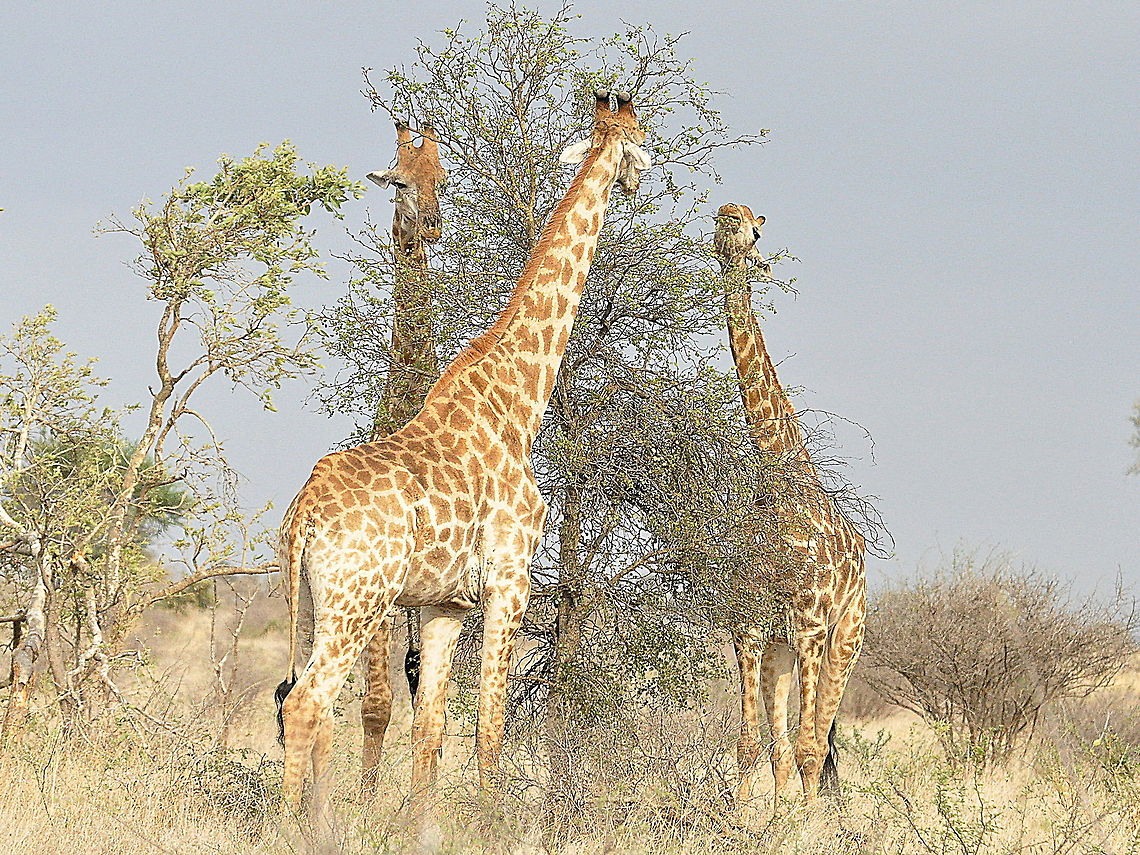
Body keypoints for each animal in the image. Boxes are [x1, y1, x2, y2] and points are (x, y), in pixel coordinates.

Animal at [276, 90, 651, 830]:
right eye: (640, 141)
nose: (642, 180)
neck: (518, 398)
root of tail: (304, 513)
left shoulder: (446, 603)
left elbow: (432, 725)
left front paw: (420, 829)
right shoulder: (510, 579)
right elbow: (491, 723)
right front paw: (489, 822)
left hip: (309, 602)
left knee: (300, 702)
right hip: (358, 601)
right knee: (308, 702)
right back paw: (295, 830)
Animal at [714, 203, 867, 807]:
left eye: (755, 229)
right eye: (724, 222)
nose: (727, 224)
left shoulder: (810, 624)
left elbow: (807, 750)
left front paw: (805, 821)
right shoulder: (751, 628)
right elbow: (750, 746)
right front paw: (750, 819)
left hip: (846, 637)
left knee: (816, 745)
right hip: (783, 651)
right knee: (783, 753)